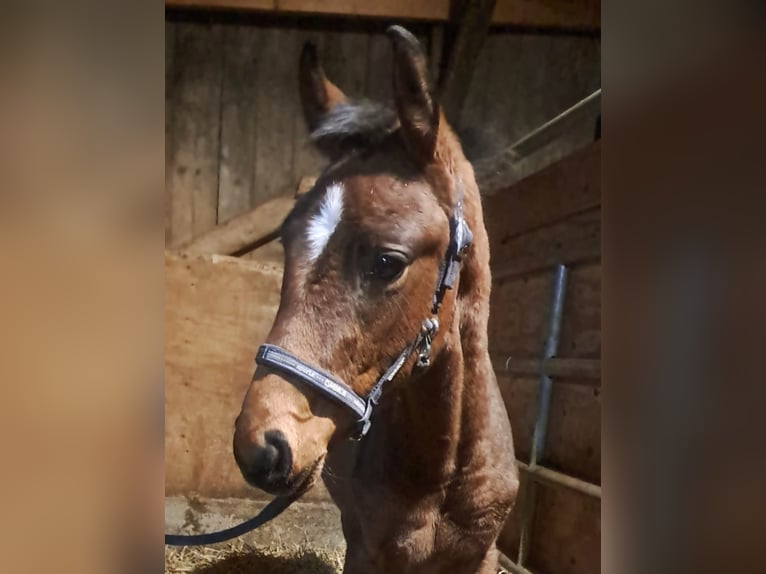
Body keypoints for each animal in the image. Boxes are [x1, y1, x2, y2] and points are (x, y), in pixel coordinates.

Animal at [232, 24, 520, 572]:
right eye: (287, 242)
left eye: (388, 262)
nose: (260, 447)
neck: (440, 474)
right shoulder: (364, 549)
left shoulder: (483, 555)